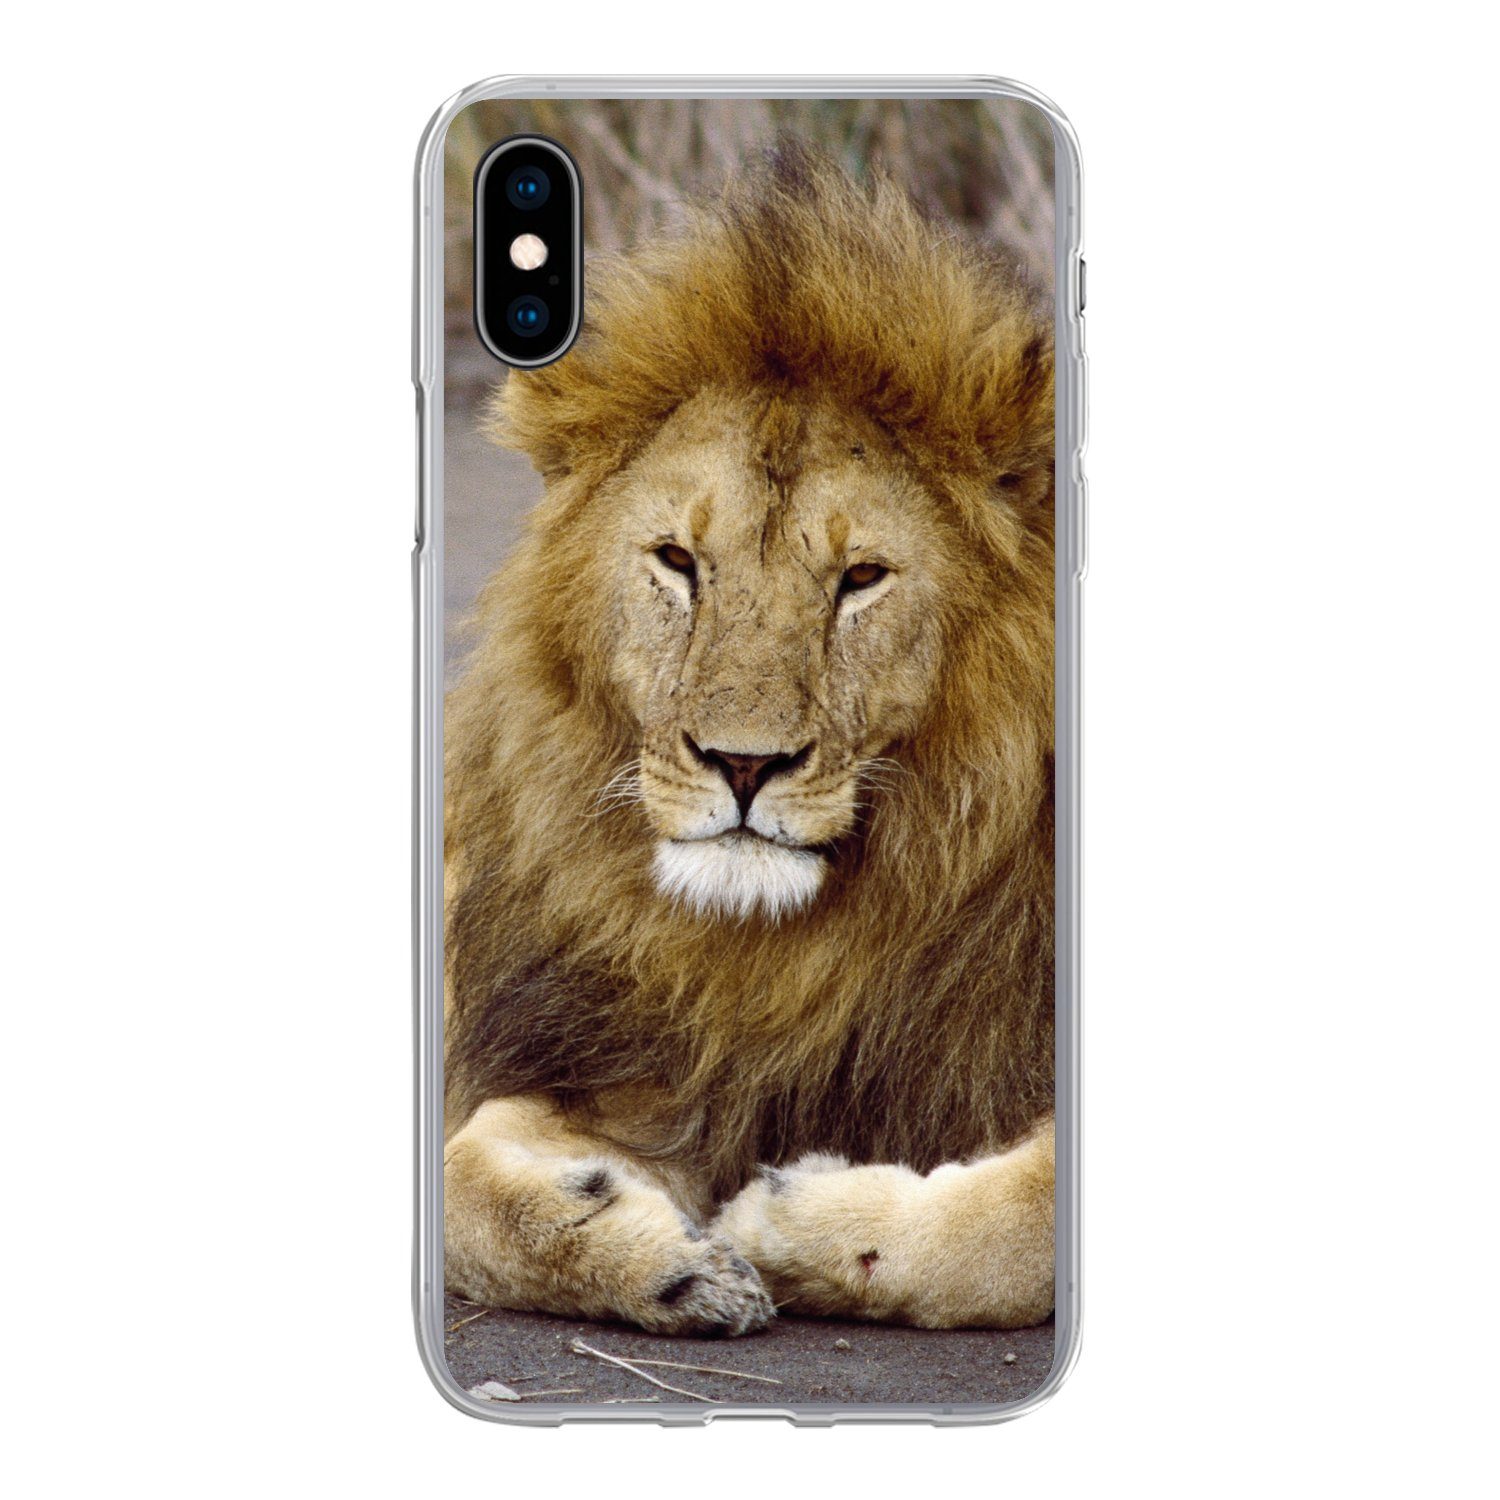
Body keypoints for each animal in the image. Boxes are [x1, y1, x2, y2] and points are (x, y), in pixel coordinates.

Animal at [442, 143, 1056, 1337]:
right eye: (679, 561)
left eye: (861, 577)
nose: (743, 763)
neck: (778, 958)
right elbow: (457, 1176)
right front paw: (654, 1255)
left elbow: (1029, 1221)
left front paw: (792, 1221)